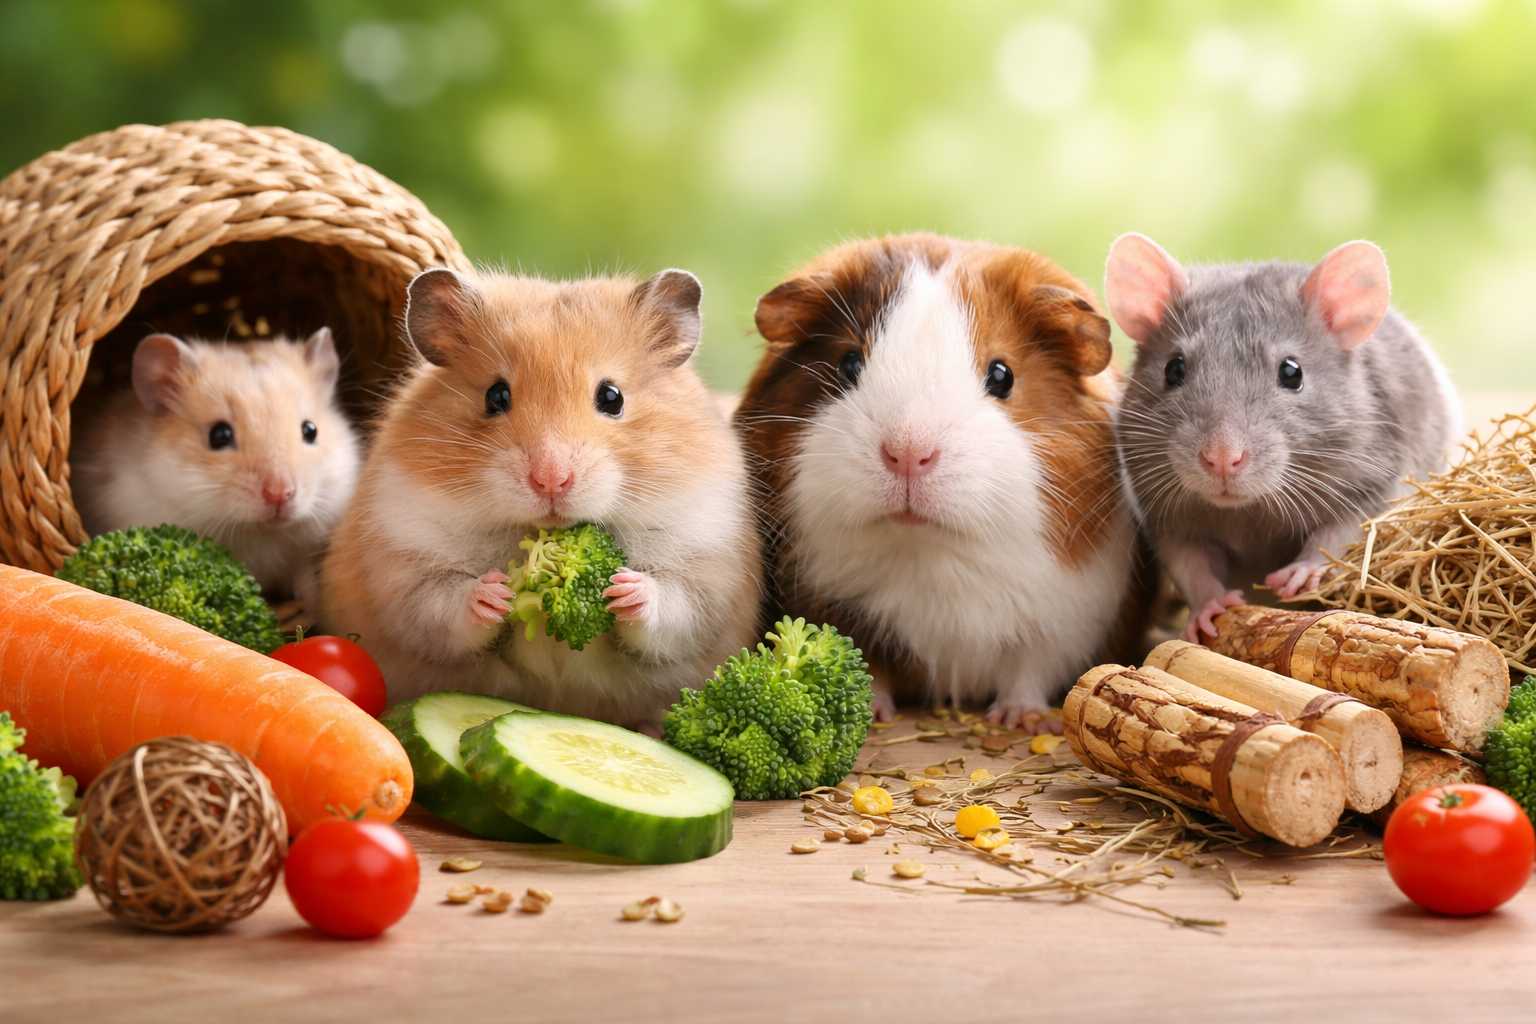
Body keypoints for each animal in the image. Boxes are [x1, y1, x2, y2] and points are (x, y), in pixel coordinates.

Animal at [69, 329, 362, 599]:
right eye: (219, 435)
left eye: (311, 430)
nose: (280, 495)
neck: (258, 531)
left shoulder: (306, 552)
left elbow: (308, 584)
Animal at [319, 267, 761, 731]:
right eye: (495, 396)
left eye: (612, 397)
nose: (551, 480)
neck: (541, 531)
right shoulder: (406, 568)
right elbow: (444, 608)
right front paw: (495, 594)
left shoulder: (706, 571)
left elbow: (672, 607)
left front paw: (624, 589)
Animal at [734, 233, 1150, 728]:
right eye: (848, 363)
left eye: (1002, 374)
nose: (909, 453)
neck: (932, 554)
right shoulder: (834, 608)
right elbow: (869, 665)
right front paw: (875, 715)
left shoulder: (1068, 619)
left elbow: (1028, 671)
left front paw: (1021, 718)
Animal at [1104, 233, 1461, 639]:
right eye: (1174, 369)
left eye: (1292, 373)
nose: (1222, 459)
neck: (1248, 509)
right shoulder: (1167, 508)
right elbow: (1188, 558)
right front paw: (1208, 605)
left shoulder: (1377, 474)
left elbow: (1351, 529)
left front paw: (1305, 569)